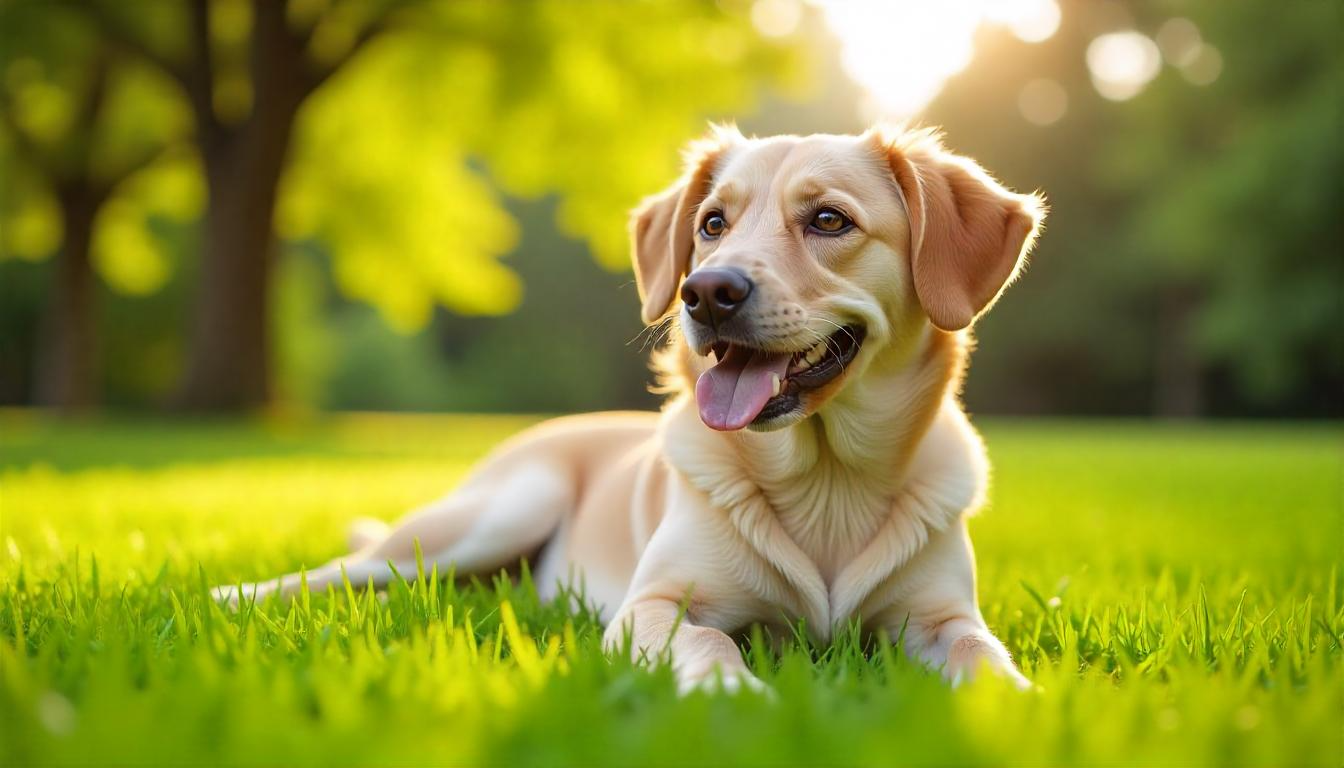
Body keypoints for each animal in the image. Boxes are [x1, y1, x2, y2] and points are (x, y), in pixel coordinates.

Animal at [215, 124, 1042, 688]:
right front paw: (735, 698)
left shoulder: (940, 617)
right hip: (497, 512)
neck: (827, 479)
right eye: (712, 224)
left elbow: (983, 654)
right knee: (345, 570)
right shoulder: (657, 606)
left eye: (829, 220)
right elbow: (710, 642)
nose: (707, 292)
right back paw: (231, 593)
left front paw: (1017, 705)